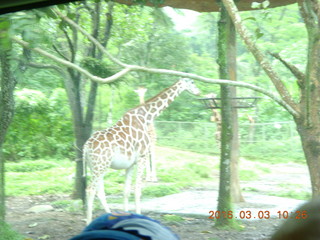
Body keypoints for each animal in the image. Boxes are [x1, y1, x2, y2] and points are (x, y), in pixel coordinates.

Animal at [84, 78, 201, 223]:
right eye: (192, 82)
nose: (199, 92)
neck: (145, 117)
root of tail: (86, 146)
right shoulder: (142, 157)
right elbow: (138, 190)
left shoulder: (130, 164)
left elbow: (126, 191)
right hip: (100, 166)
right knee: (90, 189)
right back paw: (89, 222)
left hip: (95, 167)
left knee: (99, 192)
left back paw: (110, 216)